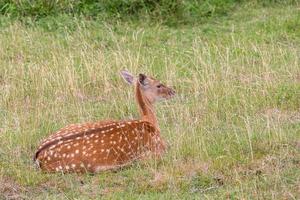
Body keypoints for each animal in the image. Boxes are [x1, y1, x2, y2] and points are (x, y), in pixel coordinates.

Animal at [34, 70, 176, 173]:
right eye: (158, 85)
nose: (173, 92)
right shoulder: (157, 150)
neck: (149, 122)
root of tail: (38, 156)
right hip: (82, 165)